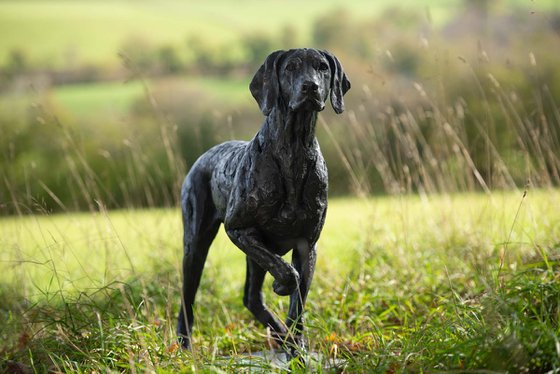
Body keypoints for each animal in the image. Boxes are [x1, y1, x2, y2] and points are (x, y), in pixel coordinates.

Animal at [177, 48, 348, 356]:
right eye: (291, 67)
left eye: (323, 67)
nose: (310, 87)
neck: (293, 151)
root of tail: (203, 156)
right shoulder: (238, 229)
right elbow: (288, 273)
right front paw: (281, 286)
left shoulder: (307, 244)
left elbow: (298, 301)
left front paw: (296, 349)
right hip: (195, 244)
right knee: (187, 295)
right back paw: (184, 346)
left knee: (251, 298)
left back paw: (282, 336)